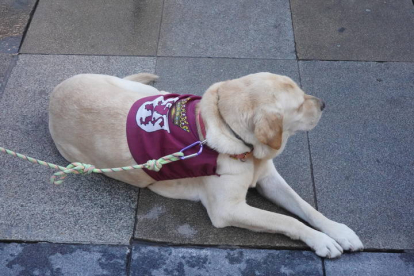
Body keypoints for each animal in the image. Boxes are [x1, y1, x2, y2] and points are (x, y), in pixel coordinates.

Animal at [50, 72, 364, 258]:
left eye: (303, 92)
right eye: (299, 105)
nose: (323, 104)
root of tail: (56, 90)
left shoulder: (269, 178)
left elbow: (306, 208)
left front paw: (338, 231)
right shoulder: (228, 209)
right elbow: (286, 220)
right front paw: (321, 241)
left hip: (144, 92)